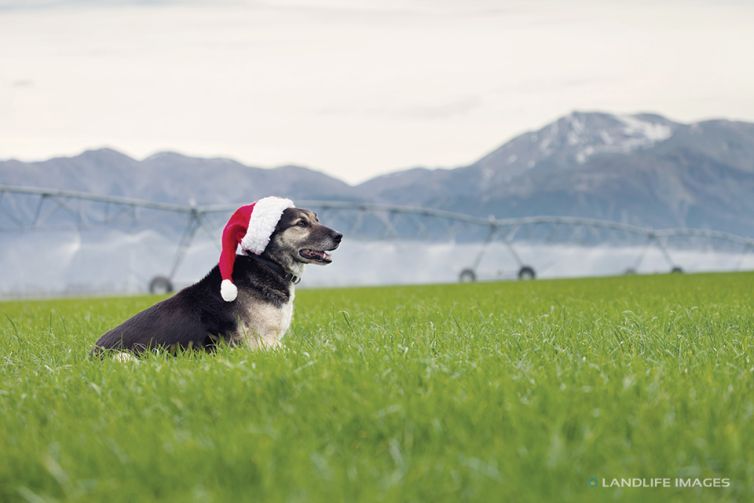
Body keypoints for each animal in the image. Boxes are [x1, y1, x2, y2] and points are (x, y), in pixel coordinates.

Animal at [92, 207, 340, 356]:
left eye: (316, 219)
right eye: (301, 223)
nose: (339, 236)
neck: (268, 263)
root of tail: (91, 355)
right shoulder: (262, 343)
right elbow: (300, 350)